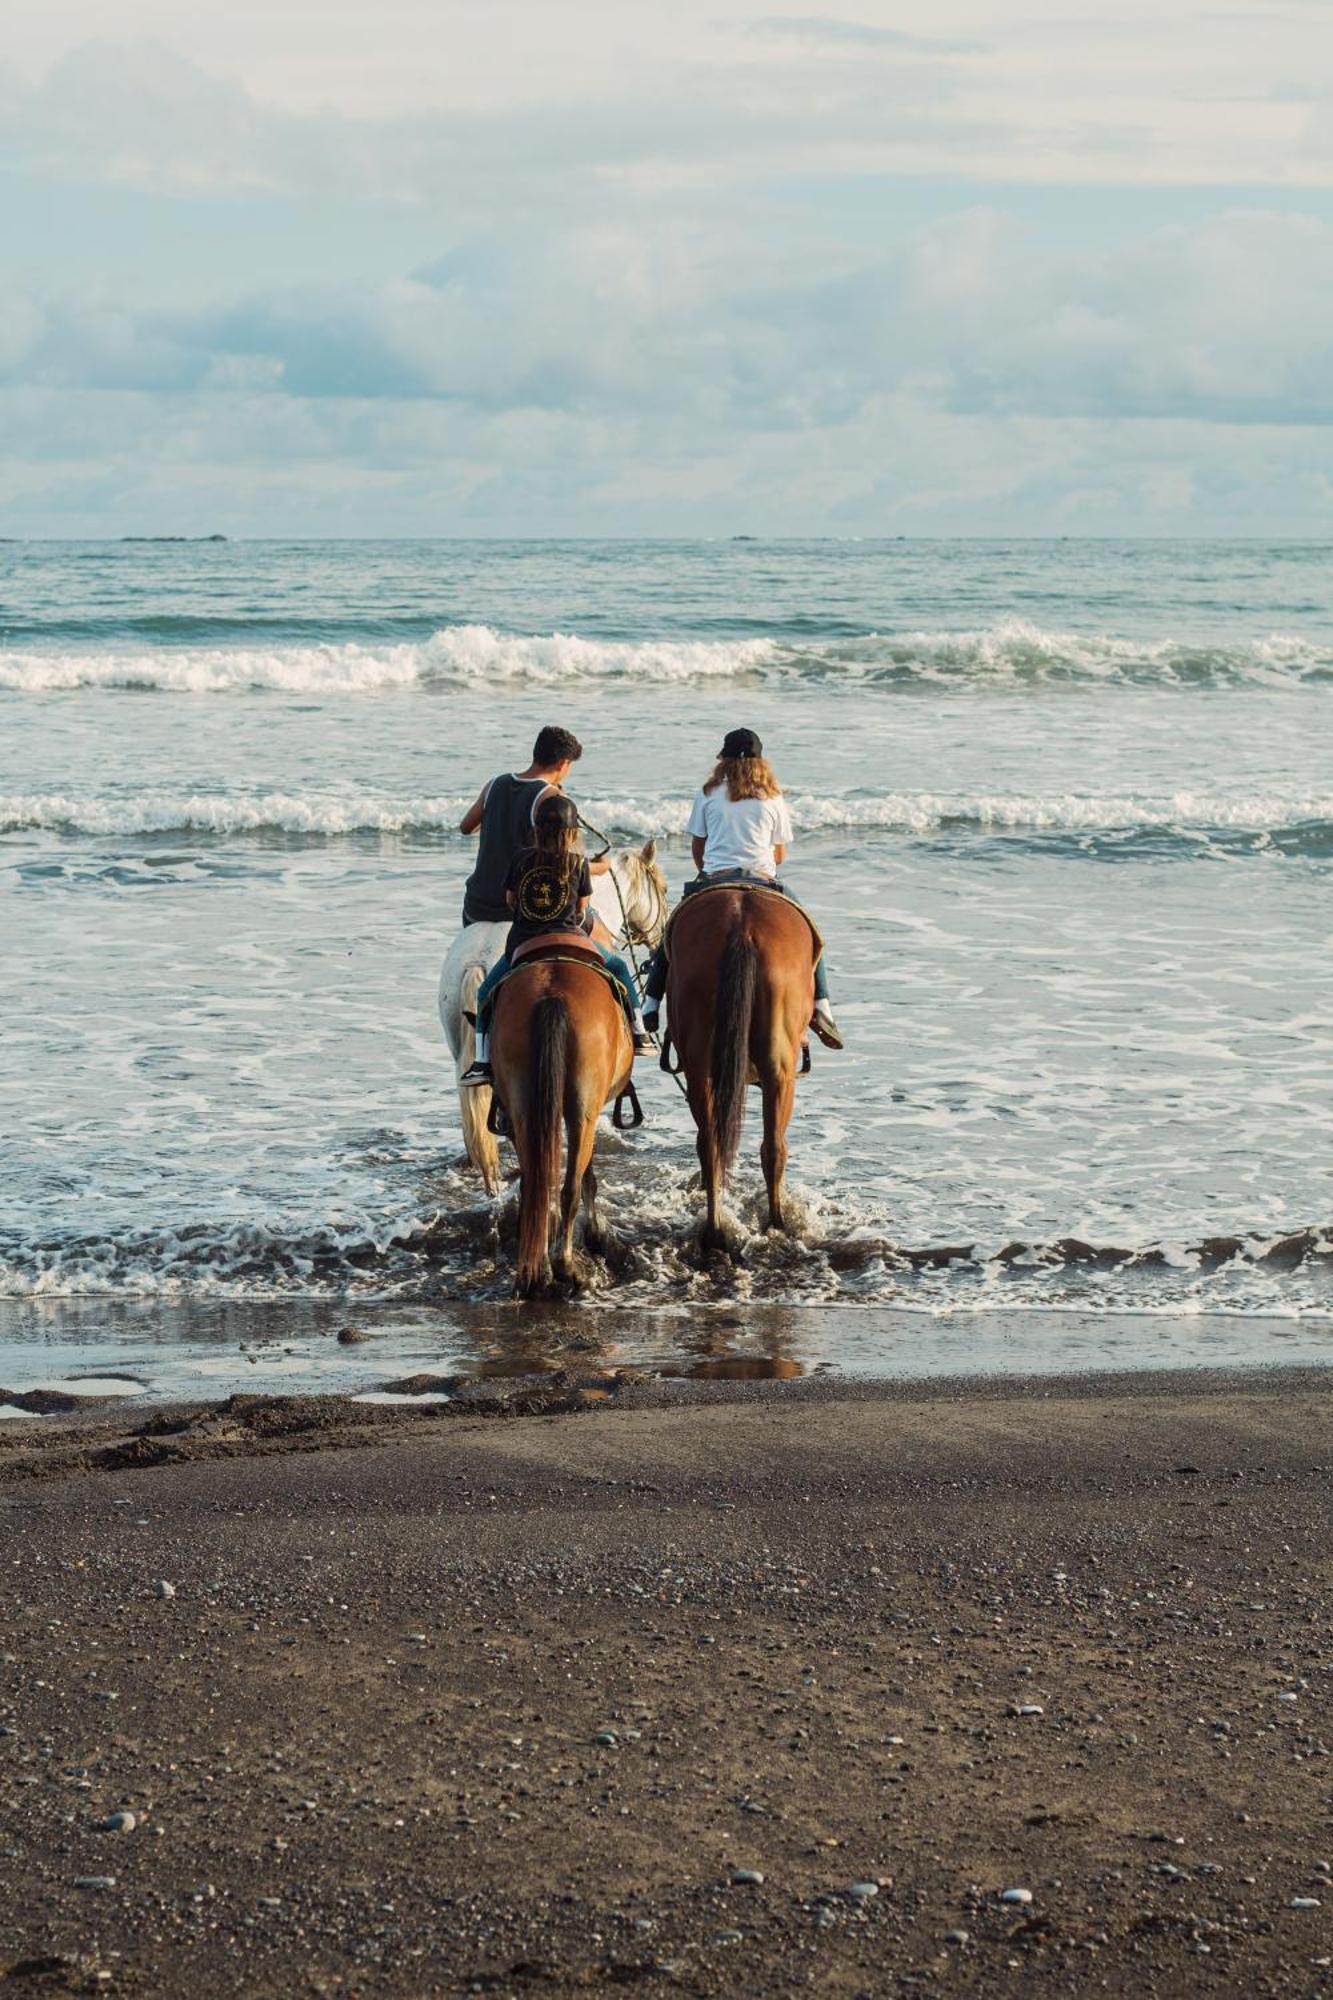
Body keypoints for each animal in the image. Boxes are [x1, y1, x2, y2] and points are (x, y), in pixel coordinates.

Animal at [488, 948, 632, 1304]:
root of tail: (551, 995)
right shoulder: (592, 1111)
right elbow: (587, 1174)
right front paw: (595, 1232)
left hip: (524, 1108)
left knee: (537, 1188)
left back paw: (534, 1273)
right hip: (583, 1110)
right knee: (569, 1189)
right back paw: (566, 1267)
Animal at [660, 888, 808, 1248]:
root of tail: (742, 929)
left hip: (702, 1067)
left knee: (712, 1144)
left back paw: (716, 1229)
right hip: (780, 1072)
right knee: (774, 1147)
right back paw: (774, 1223)